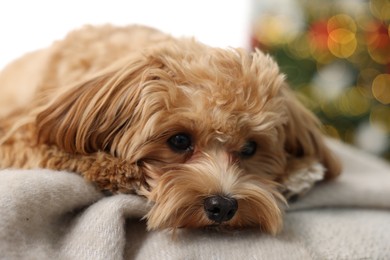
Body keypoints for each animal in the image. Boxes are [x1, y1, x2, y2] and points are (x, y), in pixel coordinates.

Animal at [0, 25, 342, 235]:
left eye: (250, 148)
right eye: (179, 141)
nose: (223, 206)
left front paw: (300, 171)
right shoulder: (18, 135)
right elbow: (59, 151)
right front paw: (117, 170)